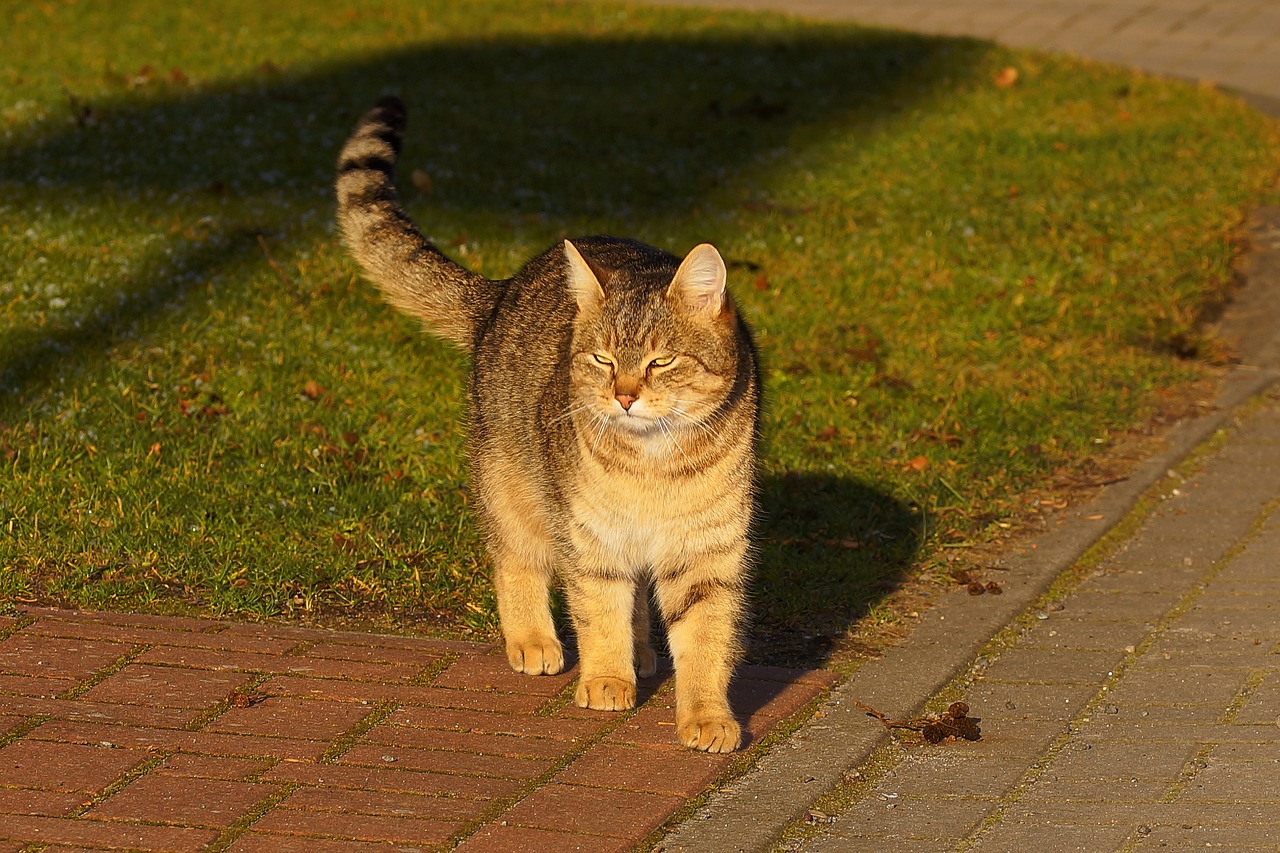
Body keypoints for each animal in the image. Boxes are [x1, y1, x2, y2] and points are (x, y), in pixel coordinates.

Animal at [337, 96, 757, 753]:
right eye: (602, 359)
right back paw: (534, 639)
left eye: (660, 361)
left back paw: (642, 653)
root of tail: (502, 290)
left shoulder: (708, 549)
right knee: (515, 557)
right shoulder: (589, 535)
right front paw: (606, 679)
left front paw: (707, 715)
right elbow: (600, 609)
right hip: (515, 488)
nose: (625, 397)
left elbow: (706, 637)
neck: (655, 461)